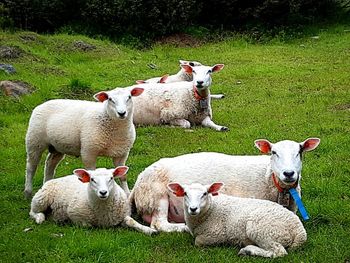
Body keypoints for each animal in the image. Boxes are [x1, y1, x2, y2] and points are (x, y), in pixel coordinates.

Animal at [29, 166, 157, 236]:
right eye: (92, 179)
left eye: (111, 178)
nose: (103, 192)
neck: (104, 213)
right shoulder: (75, 215)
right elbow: (88, 225)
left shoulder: (122, 214)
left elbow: (131, 221)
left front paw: (149, 230)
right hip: (41, 199)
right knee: (32, 212)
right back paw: (40, 218)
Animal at [129, 138, 320, 233]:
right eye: (274, 152)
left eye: (300, 151)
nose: (288, 173)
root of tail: (137, 182)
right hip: (157, 196)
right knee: (159, 224)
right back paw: (183, 227)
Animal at [168, 183, 308, 258]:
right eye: (185, 194)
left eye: (205, 194)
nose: (193, 209)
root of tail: (300, 231)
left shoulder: (216, 234)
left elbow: (198, 242)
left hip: (263, 229)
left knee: (279, 252)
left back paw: (248, 250)